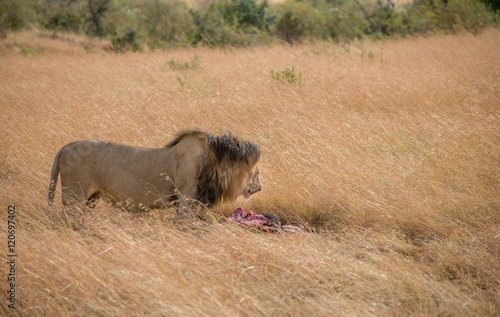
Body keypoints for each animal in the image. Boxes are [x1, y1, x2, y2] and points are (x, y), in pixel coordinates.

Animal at [47, 128, 262, 217]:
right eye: (256, 171)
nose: (260, 188)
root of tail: (65, 147)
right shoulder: (186, 201)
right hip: (74, 197)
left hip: (91, 198)